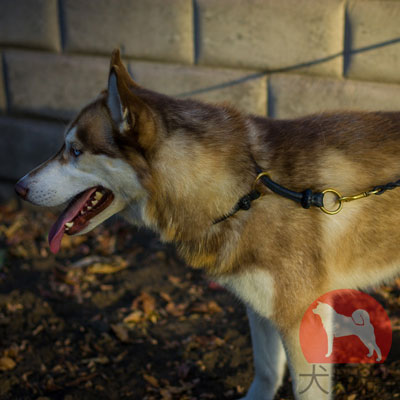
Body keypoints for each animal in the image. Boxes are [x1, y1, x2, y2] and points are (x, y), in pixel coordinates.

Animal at [14, 50, 400, 400]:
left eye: (75, 150)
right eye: (64, 147)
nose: (19, 187)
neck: (245, 192)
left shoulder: (298, 317)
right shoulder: (259, 308)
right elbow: (266, 371)